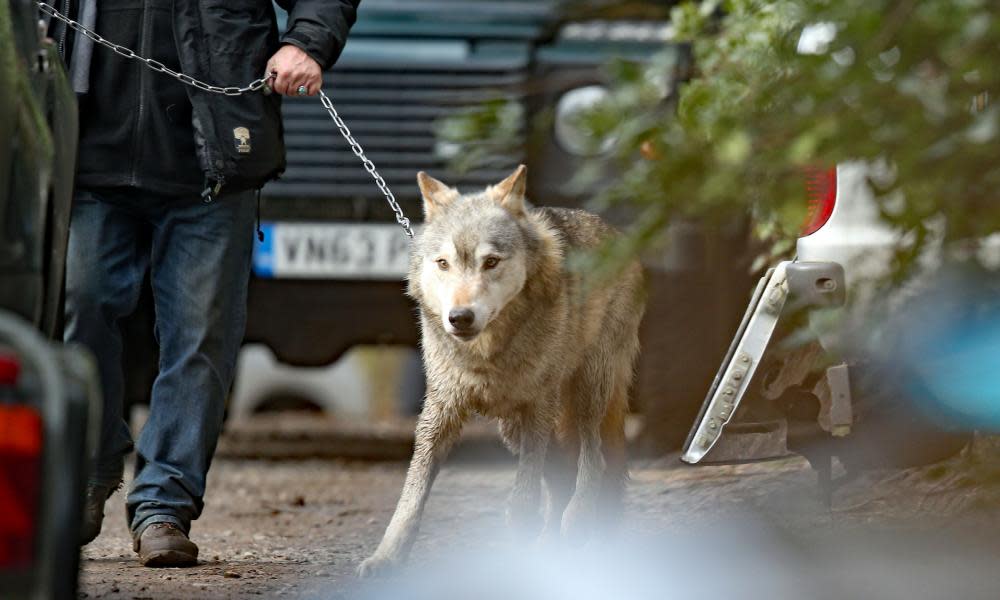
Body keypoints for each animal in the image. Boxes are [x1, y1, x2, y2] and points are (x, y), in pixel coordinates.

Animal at [364, 165, 644, 576]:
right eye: (443, 263)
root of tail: (620, 236)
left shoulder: (538, 408)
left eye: (491, 262)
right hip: (517, 428)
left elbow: (524, 499)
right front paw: (386, 557)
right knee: (563, 473)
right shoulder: (440, 412)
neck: (486, 356)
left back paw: (577, 523)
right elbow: (410, 497)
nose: (460, 317)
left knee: (594, 456)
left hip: (586, 393)